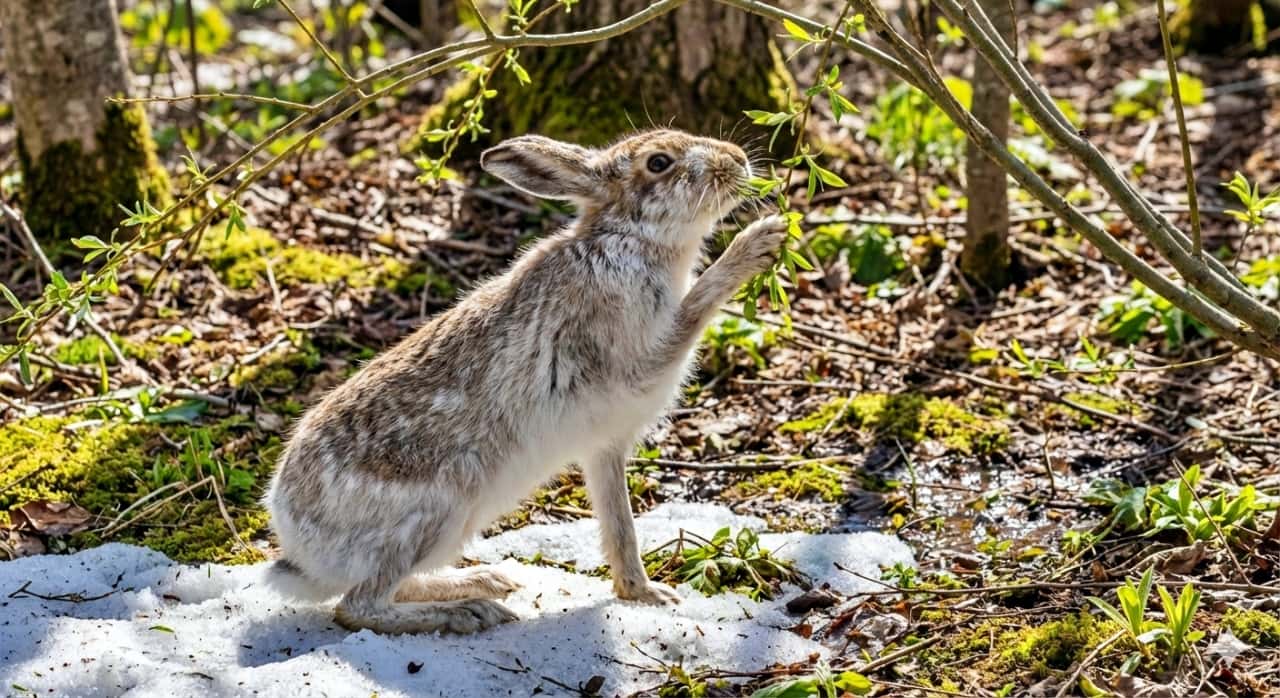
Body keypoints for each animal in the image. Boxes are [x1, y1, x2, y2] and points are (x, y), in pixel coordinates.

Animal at [263, 128, 789, 635]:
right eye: (659, 162)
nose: (738, 159)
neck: (630, 241)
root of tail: (296, 538)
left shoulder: (603, 448)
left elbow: (620, 526)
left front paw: (644, 594)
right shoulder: (633, 358)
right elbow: (693, 310)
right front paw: (760, 240)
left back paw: (483, 580)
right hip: (436, 508)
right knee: (358, 606)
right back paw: (468, 612)